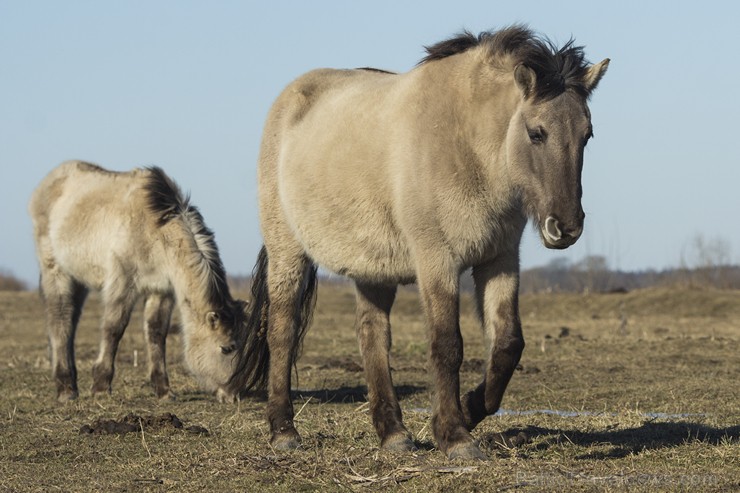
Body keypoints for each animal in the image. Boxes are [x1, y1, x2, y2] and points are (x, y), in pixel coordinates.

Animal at [29, 162, 249, 404]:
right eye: (227, 348)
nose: (234, 396)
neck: (154, 230)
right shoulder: (123, 282)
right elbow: (114, 328)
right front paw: (101, 387)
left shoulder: (161, 290)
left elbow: (157, 333)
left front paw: (164, 391)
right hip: (56, 272)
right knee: (60, 320)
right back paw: (66, 389)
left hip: (78, 280)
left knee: (70, 321)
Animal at [233, 26, 612, 458]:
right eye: (536, 133)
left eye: (587, 135)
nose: (566, 227)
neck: (466, 144)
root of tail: (290, 99)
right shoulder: (437, 261)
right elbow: (447, 345)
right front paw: (455, 435)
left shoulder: (499, 259)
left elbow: (508, 343)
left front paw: (470, 409)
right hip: (288, 254)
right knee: (282, 331)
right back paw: (284, 431)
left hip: (373, 269)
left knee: (372, 337)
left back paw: (393, 433)